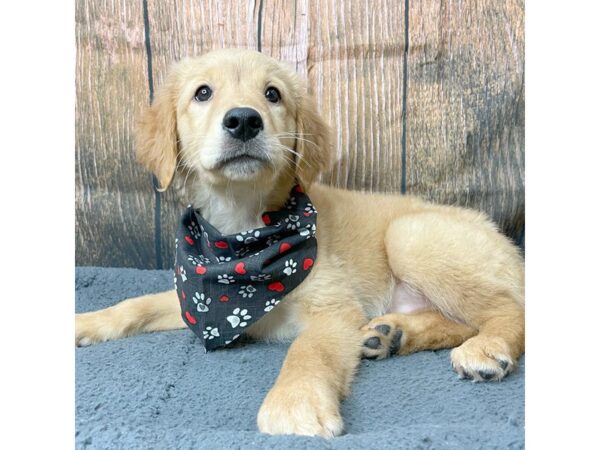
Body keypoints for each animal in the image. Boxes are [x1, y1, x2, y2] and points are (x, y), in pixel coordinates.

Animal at [76, 48, 524, 436]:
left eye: (272, 94)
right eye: (202, 92)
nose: (243, 120)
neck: (241, 239)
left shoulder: (332, 308)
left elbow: (308, 352)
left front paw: (296, 403)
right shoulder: (195, 298)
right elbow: (136, 305)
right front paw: (86, 322)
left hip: (410, 237)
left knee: (508, 309)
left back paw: (486, 348)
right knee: (461, 318)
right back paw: (390, 333)